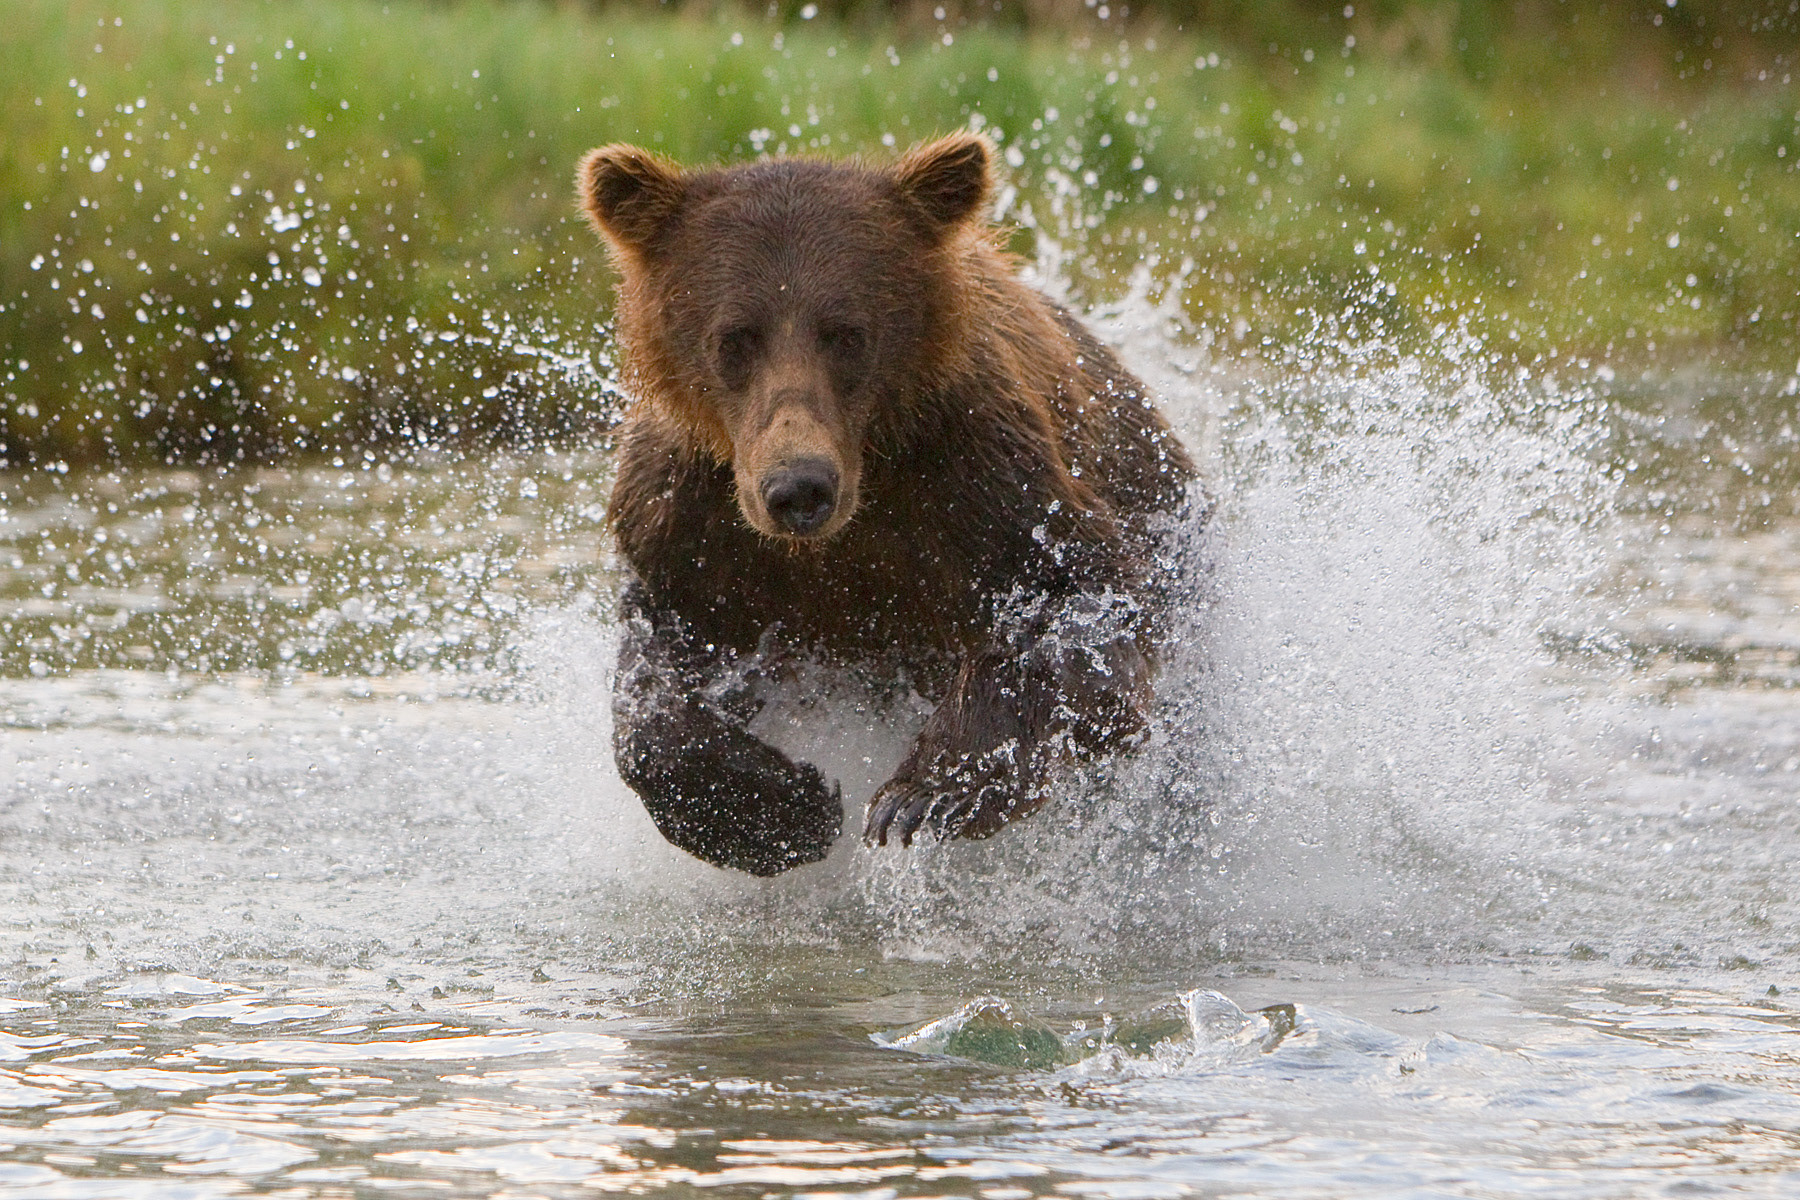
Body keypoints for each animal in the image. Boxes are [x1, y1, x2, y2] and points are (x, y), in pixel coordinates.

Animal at [576, 132, 1198, 876]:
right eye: (735, 337)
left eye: (847, 332)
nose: (799, 488)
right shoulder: (691, 525)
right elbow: (659, 676)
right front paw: (783, 809)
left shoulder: (979, 478)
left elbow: (1075, 606)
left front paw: (924, 795)